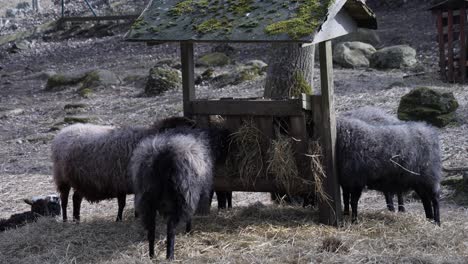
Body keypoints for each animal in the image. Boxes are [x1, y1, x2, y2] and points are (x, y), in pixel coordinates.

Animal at [51, 116, 196, 222]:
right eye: (181, 129)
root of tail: (62, 132)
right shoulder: (120, 182)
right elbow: (122, 204)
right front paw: (119, 219)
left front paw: (134, 217)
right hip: (62, 178)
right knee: (64, 200)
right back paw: (65, 219)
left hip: (80, 180)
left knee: (76, 198)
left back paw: (77, 219)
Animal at [131, 126, 229, 260]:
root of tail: (161, 156)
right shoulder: (193, 195)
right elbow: (190, 216)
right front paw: (188, 231)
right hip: (180, 198)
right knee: (171, 228)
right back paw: (170, 255)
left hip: (146, 200)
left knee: (151, 229)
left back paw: (151, 255)